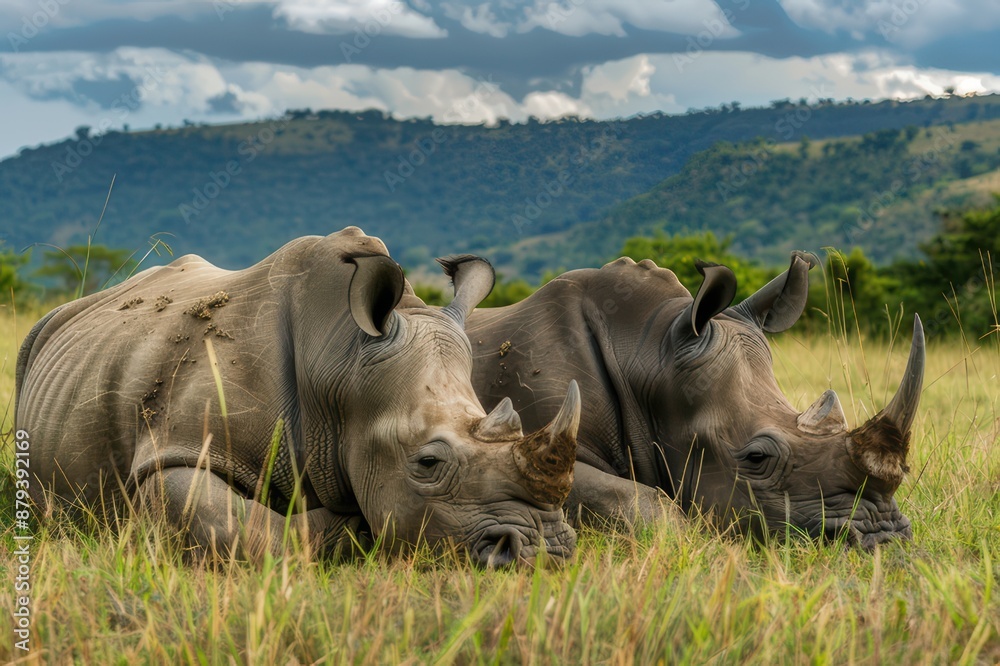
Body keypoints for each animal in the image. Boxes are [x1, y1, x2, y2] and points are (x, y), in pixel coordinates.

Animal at [16, 228, 580, 567]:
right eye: (427, 463)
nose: (545, 553)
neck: (340, 361)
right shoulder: (175, 447)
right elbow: (238, 528)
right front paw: (351, 528)